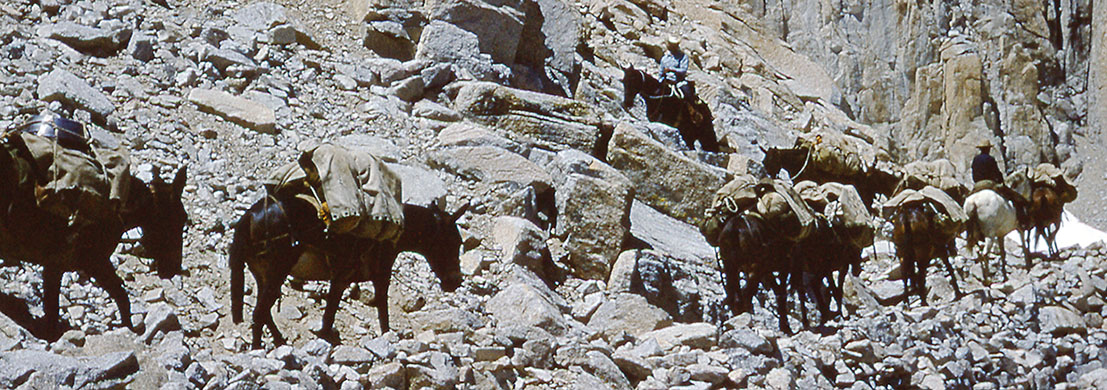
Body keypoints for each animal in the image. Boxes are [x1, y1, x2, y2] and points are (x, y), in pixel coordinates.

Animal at [228, 191, 462, 347]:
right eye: (455, 242)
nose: (455, 282)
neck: (393, 228)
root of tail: (250, 216)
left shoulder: (340, 279)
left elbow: (330, 313)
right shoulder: (378, 275)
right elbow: (381, 310)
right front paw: (386, 337)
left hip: (264, 275)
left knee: (264, 312)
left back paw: (279, 342)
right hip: (276, 272)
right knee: (259, 313)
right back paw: (258, 349)